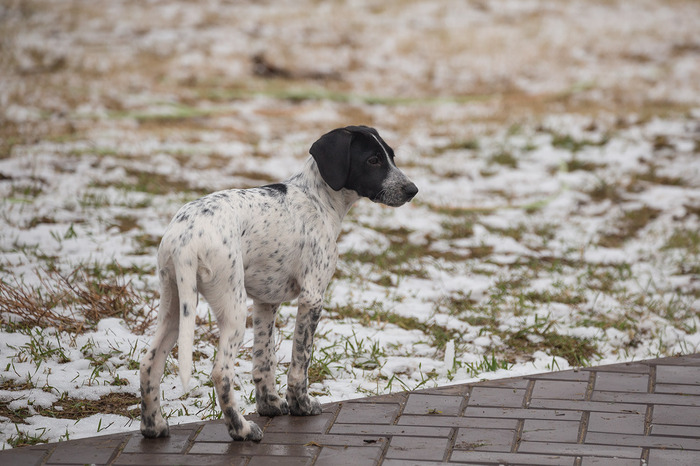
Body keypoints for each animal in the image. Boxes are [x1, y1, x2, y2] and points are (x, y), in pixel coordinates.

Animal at [139, 126, 418, 441]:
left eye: (391, 156)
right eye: (373, 160)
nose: (412, 190)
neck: (318, 199)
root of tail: (186, 237)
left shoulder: (266, 301)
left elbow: (264, 360)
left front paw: (270, 404)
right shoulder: (312, 297)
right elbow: (301, 361)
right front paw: (301, 405)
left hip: (175, 305)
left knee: (149, 363)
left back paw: (153, 426)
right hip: (232, 309)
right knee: (221, 373)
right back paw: (241, 429)